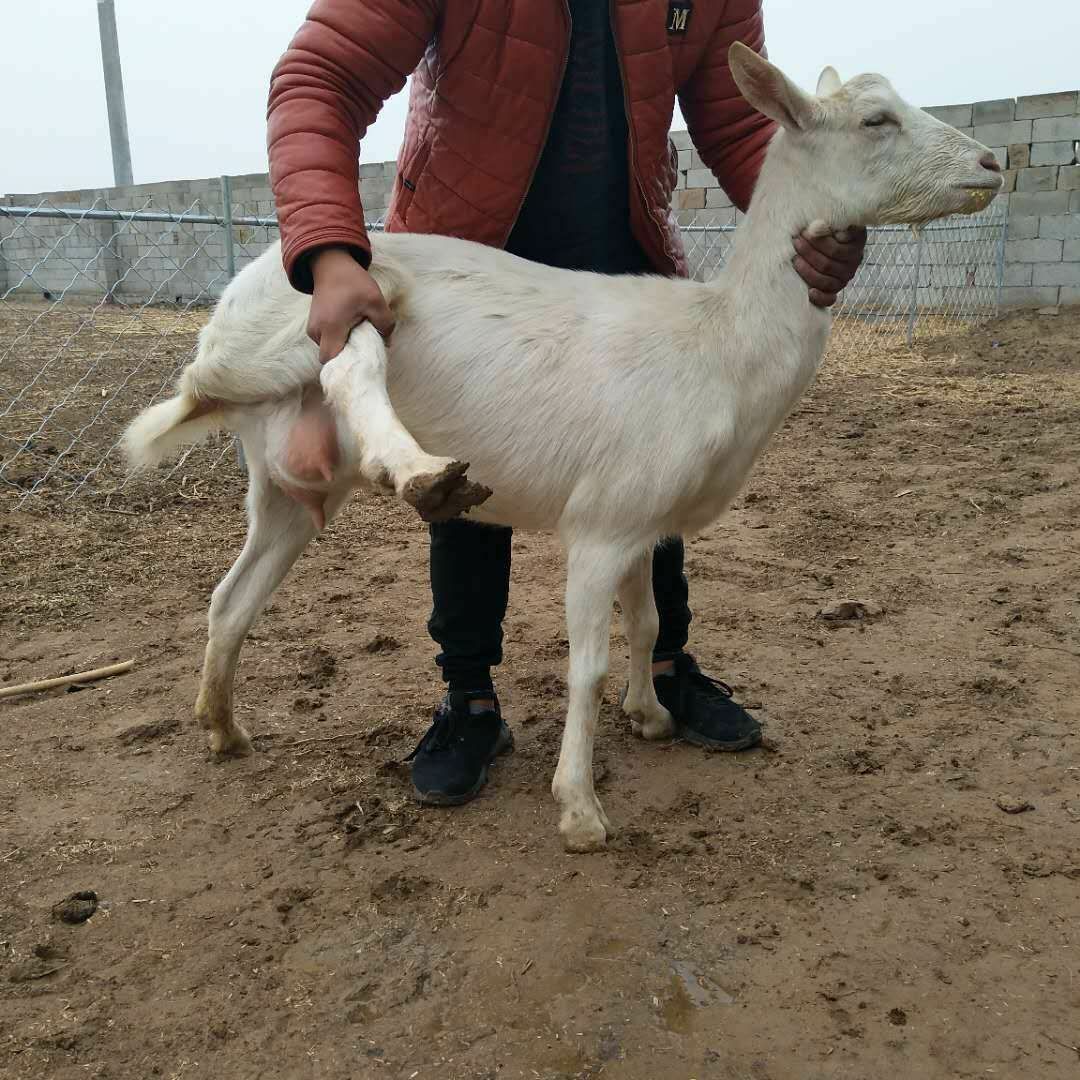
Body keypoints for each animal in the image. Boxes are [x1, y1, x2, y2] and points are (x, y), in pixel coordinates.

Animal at [126, 44, 1002, 851]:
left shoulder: (647, 521)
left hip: (289, 480)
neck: (719, 343)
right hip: (341, 308)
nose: (994, 162)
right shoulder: (601, 522)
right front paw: (580, 807)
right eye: (876, 121)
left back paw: (223, 727)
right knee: (351, 361)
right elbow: (588, 665)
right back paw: (425, 475)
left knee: (232, 596)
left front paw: (651, 714)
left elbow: (648, 622)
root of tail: (217, 334)